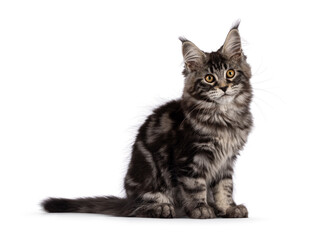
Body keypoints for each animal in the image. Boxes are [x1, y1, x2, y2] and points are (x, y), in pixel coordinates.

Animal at [42, 21, 252, 218]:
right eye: (209, 78)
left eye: (230, 73)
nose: (224, 87)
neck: (224, 117)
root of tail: (127, 200)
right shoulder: (189, 158)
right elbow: (195, 187)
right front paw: (201, 209)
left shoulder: (226, 162)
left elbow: (224, 188)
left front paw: (227, 208)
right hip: (149, 179)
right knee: (140, 207)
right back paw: (163, 208)